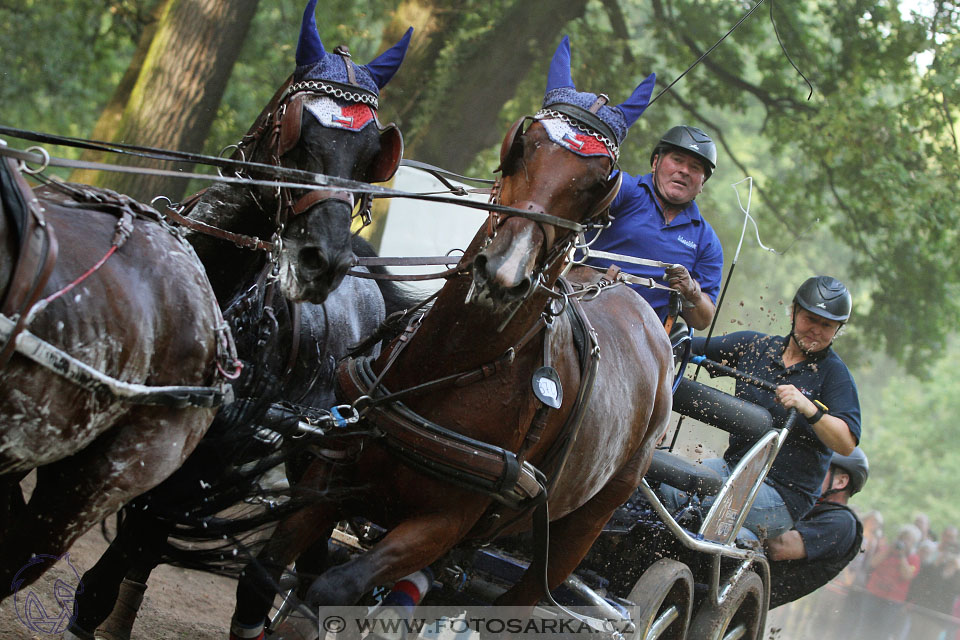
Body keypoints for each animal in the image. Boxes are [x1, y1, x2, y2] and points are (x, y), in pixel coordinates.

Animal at [229, 36, 672, 632]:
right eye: (522, 144)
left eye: (604, 181)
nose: (504, 273)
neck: (452, 368)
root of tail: (640, 306)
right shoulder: (336, 471)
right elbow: (264, 571)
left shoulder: (444, 520)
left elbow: (334, 586)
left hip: (579, 530)